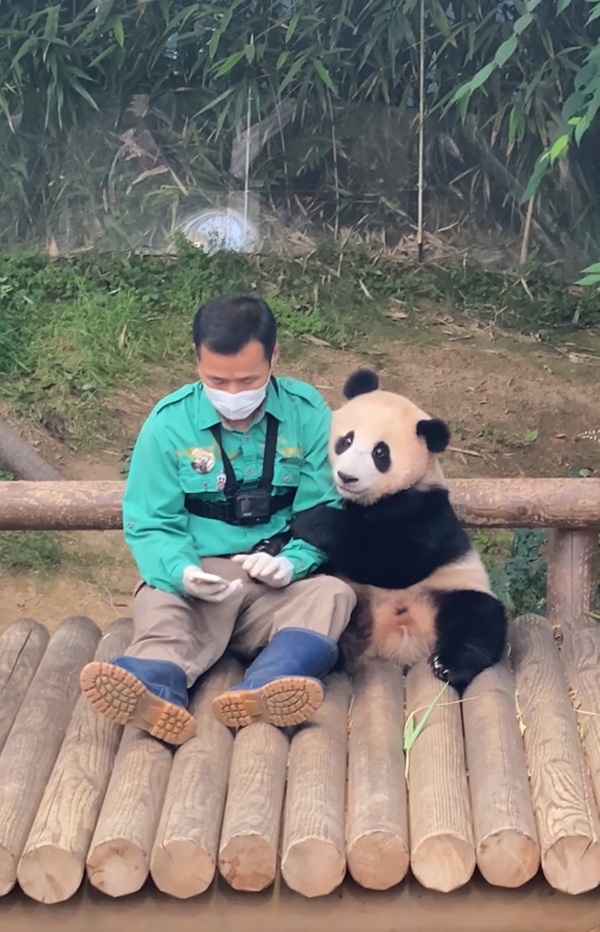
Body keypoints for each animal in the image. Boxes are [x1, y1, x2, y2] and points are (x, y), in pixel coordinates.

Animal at [292, 366, 508, 692]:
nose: (347, 476)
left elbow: (395, 559)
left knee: (480, 618)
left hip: (451, 588)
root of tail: (400, 645)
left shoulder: (429, 509)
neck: (372, 501)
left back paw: (448, 664)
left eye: (380, 453)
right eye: (346, 440)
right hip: (357, 598)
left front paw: (309, 519)